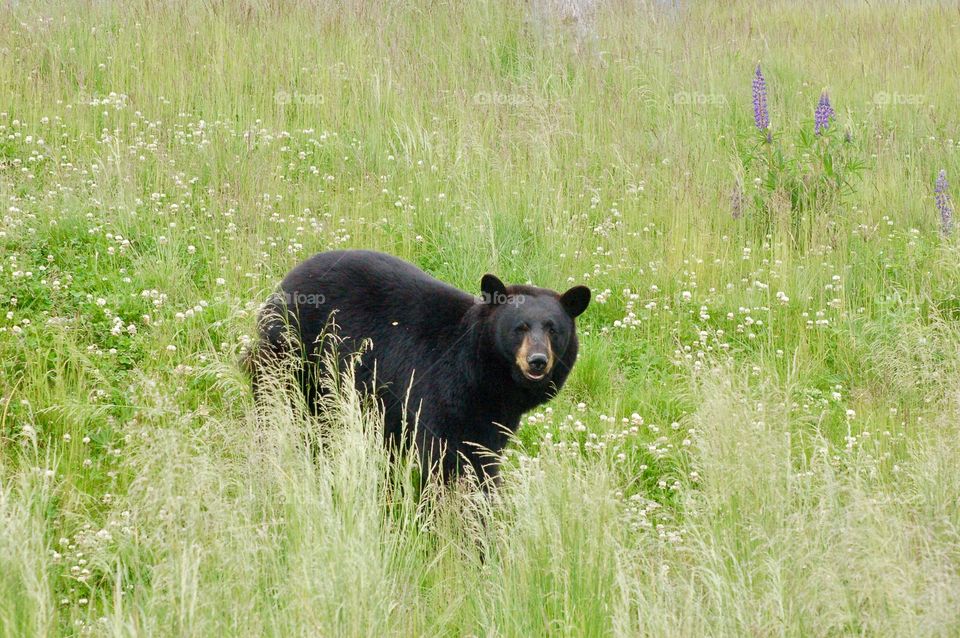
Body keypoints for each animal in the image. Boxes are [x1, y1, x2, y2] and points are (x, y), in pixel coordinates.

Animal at [250, 249, 590, 488]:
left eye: (553, 329)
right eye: (519, 328)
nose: (537, 360)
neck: (484, 376)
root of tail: (284, 282)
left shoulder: (494, 416)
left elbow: (484, 460)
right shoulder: (438, 390)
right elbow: (442, 457)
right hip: (295, 350)